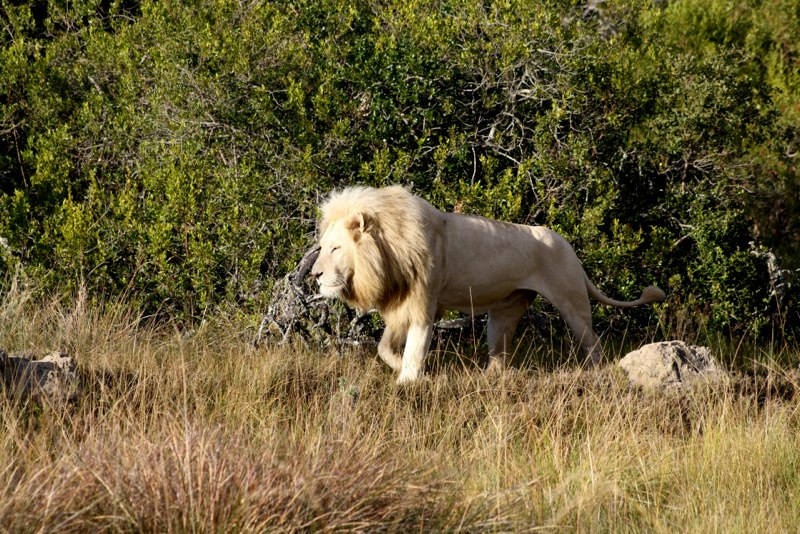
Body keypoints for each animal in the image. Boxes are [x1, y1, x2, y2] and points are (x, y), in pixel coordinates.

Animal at [311, 185, 665, 384]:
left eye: (335, 248)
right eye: (324, 246)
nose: (314, 275)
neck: (389, 248)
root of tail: (567, 245)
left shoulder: (425, 304)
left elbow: (415, 348)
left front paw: (409, 380)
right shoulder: (403, 305)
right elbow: (384, 347)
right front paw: (403, 368)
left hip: (573, 304)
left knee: (594, 344)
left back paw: (597, 374)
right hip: (504, 316)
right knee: (499, 358)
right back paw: (487, 379)